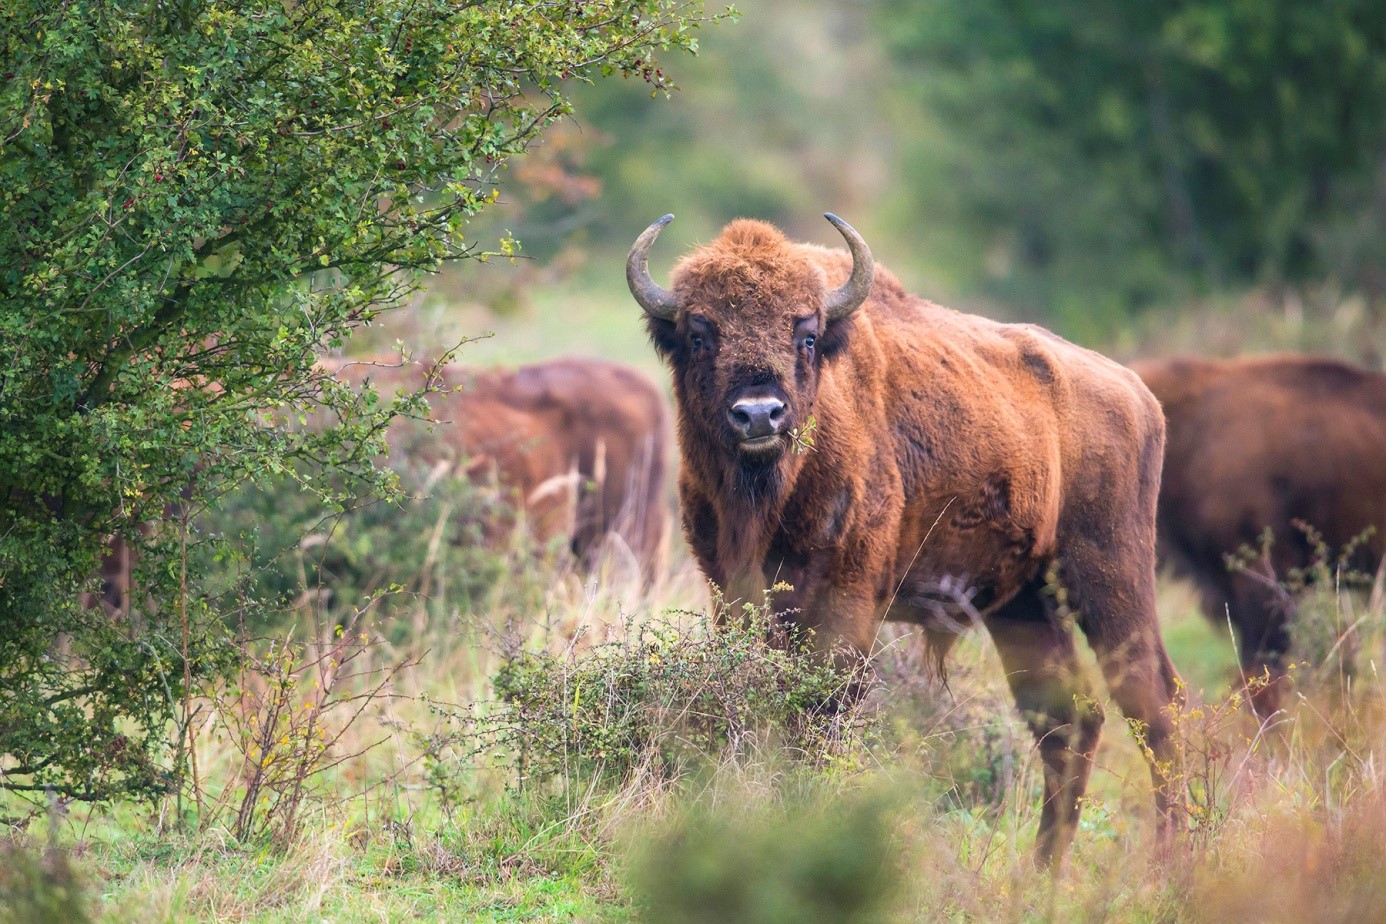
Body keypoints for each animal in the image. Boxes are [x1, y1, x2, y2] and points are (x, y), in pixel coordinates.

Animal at [634, 213, 1186, 864]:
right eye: (699, 334)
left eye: (807, 335)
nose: (760, 414)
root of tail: (1136, 392)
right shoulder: (732, 592)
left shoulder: (845, 600)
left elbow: (820, 712)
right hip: (1026, 605)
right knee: (1070, 721)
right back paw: (1042, 872)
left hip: (1110, 578)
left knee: (1154, 707)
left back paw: (1172, 863)